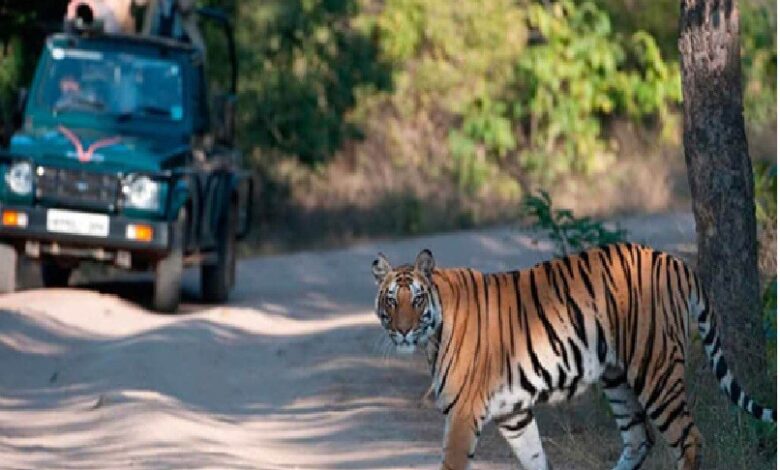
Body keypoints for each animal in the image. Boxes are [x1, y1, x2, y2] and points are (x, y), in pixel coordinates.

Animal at [370, 243, 776, 470]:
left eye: (416, 300)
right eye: (391, 300)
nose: (402, 331)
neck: (432, 334)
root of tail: (675, 261)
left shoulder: (464, 413)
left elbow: (452, 464)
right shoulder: (513, 414)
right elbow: (535, 459)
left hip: (655, 368)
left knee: (688, 439)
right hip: (616, 377)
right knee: (638, 438)